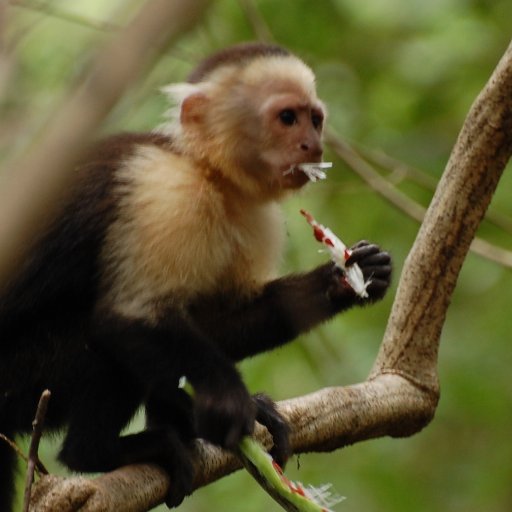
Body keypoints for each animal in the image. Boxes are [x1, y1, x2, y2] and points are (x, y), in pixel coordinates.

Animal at [0, 43, 392, 508]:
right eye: (287, 118)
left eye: (315, 119)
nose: (313, 146)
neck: (207, 172)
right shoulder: (164, 195)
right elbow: (130, 315)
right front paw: (228, 402)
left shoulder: (255, 218)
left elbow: (216, 323)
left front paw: (348, 279)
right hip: (22, 377)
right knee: (99, 341)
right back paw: (101, 450)